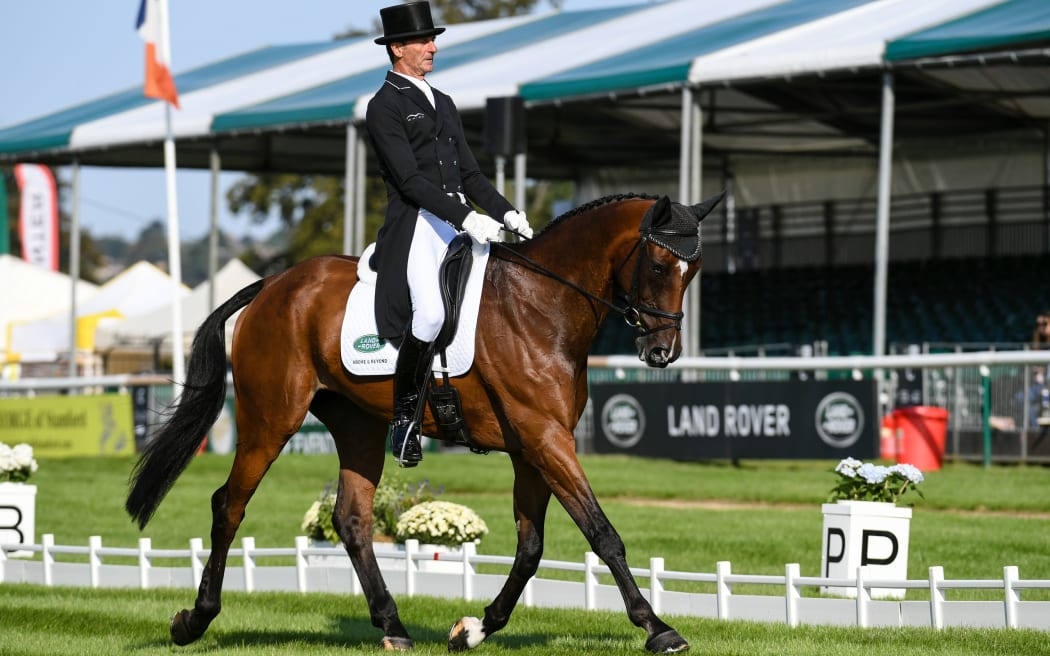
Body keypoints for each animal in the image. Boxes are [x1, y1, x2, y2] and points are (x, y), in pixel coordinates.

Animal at [125, 190, 724, 653]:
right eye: (657, 265)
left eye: (693, 270)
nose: (662, 352)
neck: (543, 304)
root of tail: (273, 285)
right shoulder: (546, 439)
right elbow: (603, 533)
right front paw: (658, 628)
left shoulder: (533, 446)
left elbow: (530, 549)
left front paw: (476, 629)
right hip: (270, 420)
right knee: (230, 505)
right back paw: (194, 619)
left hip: (359, 426)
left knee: (351, 520)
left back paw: (393, 626)